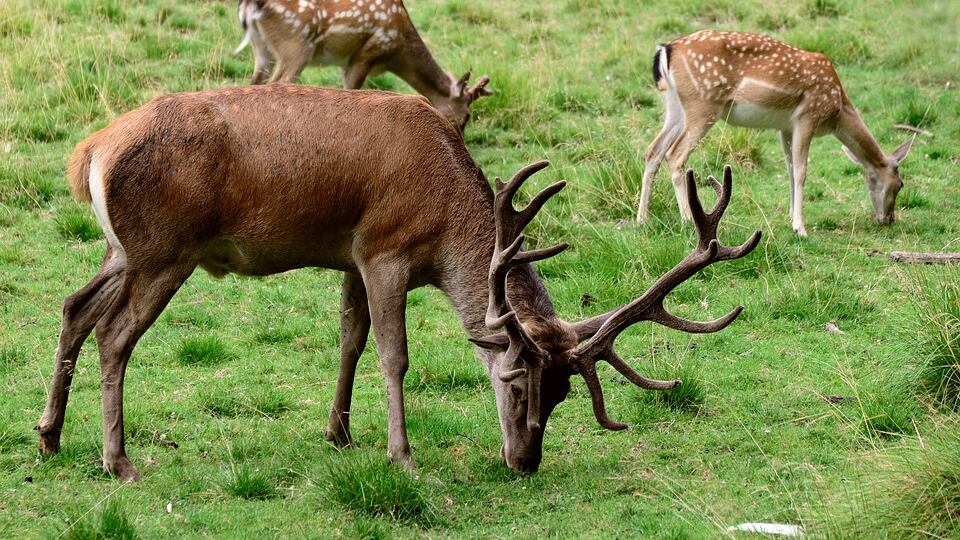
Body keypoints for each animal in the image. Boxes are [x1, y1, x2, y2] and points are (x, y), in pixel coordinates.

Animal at [35, 84, 760, 481]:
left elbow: (350, 340)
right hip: (165, 250)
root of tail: (89, 152)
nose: (525, 461)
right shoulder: (384, 250)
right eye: (515, 382)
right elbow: (393, 355)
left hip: (123, 249)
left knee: (73, 307)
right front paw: (402, 455)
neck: (445, 223)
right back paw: (119, 461)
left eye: (562, 396)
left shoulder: (351, 256)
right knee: (114, 334)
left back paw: (49, 437)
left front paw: (339, 432)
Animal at [233, 0, 492, 132]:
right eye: (466, 116)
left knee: (255, 82)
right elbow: (352, 92)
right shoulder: (366, 54)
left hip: (262, 49)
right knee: (278, 83)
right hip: (296, 45)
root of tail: (249, 6)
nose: (459, 138)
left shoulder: (348, 62)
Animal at [637, 30, 915, 236]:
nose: (888, 219)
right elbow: (802, 171)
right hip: (703, 105)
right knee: (675, 154)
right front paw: (800, 228)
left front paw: (791, 218)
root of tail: (666, 49)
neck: (837, 110)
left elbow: (790, 170)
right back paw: (686, 220)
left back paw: (642, 219)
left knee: (653, 150)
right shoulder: (807, 116)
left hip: (675, 106)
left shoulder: (785, 127)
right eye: (900, 184)